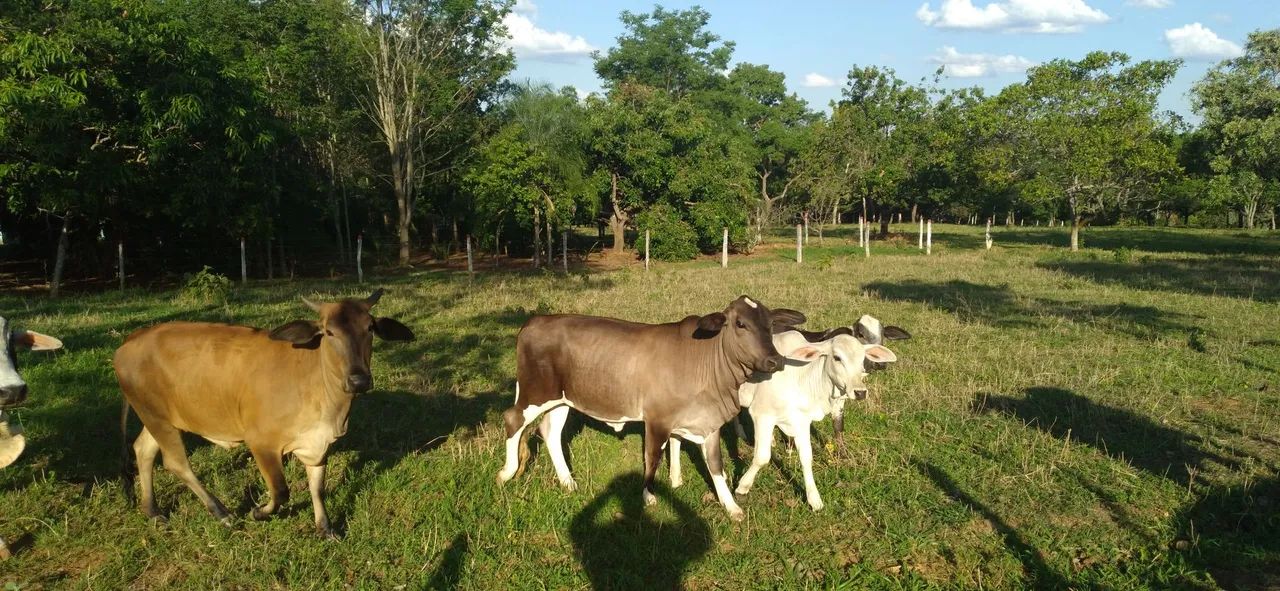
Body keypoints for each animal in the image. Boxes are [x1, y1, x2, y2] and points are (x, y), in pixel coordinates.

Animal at [114, 289, 413, 538]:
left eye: (370, 328)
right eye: (329, 332)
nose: (359, 380)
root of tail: (132, 339)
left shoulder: (318, 443)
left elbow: (317, 487)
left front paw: (325, 528)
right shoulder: (261, 442)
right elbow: (281, 491)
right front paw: (258, 512)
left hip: (156, 417)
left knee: (143, 450)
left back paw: (153, 511)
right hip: (156, 417)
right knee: (176, 463)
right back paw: (221, 513)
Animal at [496, 296, 803, 521]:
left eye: (771, 324)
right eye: (740, 323)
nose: (775, 360)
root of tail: (536, 320)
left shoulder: (708, 419)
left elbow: (715, 464)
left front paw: (731, 506)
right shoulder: (657, 418)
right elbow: (652, 456)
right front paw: (648, 495)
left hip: (561, 399)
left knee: (550, 432)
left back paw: (567, 482)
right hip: (536, 391)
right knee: (513, 419)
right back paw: (507, 473)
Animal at [732, 332, 897, 510]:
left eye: (862, 359)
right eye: (837, 358)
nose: (860, 392)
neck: (800, 377)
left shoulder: (802, 421)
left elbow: (806, 457)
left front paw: (814, 498)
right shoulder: (762, 414)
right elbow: (762, 457)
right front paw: (743, 487)